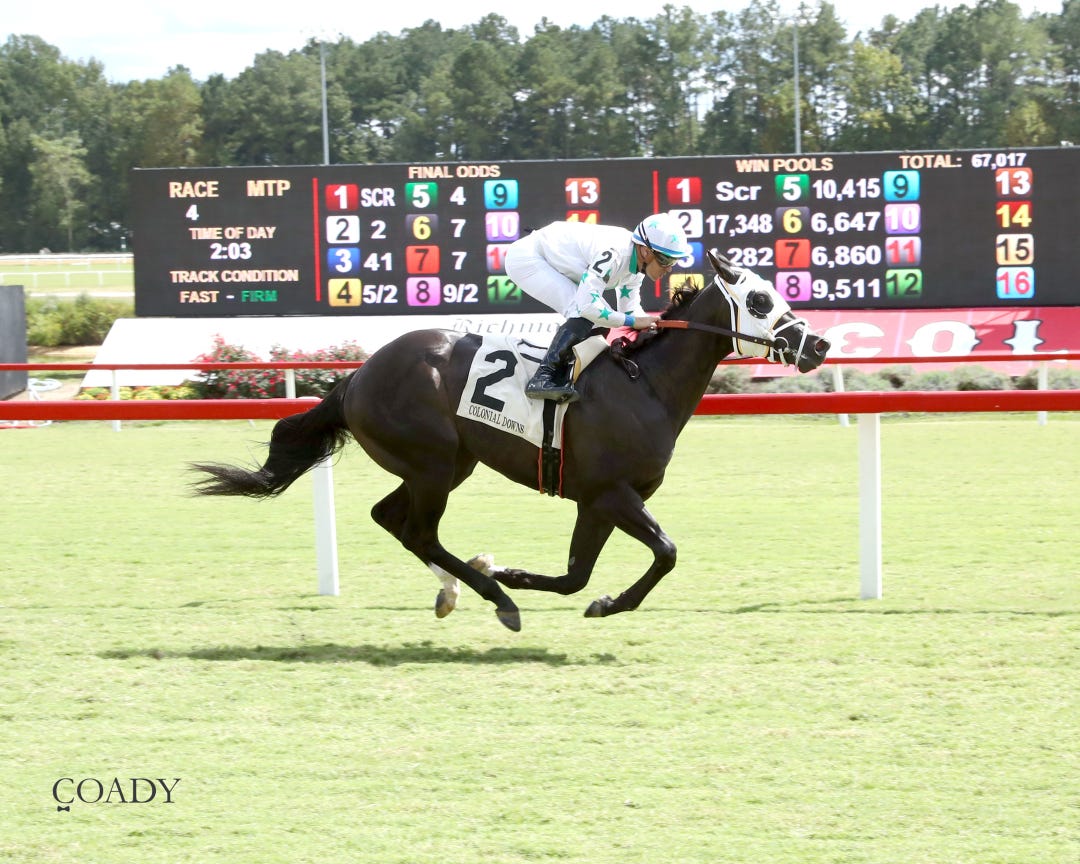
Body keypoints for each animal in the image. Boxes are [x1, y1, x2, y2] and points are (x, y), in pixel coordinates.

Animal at [191, 252, 830, 631]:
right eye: (759, 301)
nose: (819, 344)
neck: (643, 384)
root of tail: (357, 375)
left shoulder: (596, 501)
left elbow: (577, 577)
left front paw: (554, 586)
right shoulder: (613, 494)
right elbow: (666, 552)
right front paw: (525, 582)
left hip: (446, 465)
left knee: (392, 519)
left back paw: (460, 588)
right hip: (433, 463)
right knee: (417, 529)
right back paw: (494, 596)